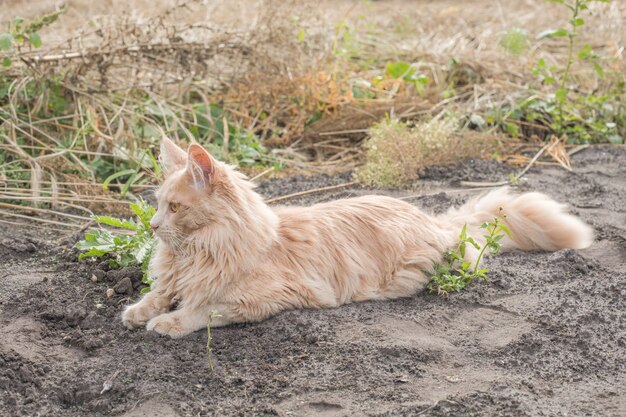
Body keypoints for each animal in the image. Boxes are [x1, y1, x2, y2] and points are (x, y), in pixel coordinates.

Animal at [120, 139, 588, 338]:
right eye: (157, 205)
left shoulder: (261, 297)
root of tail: (433, 219)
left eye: (175, 208)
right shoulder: (175, 277)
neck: (198, 250)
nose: (154, 227)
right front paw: (138, 312)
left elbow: (204, 309)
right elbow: (158, 294)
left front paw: (169, 323)